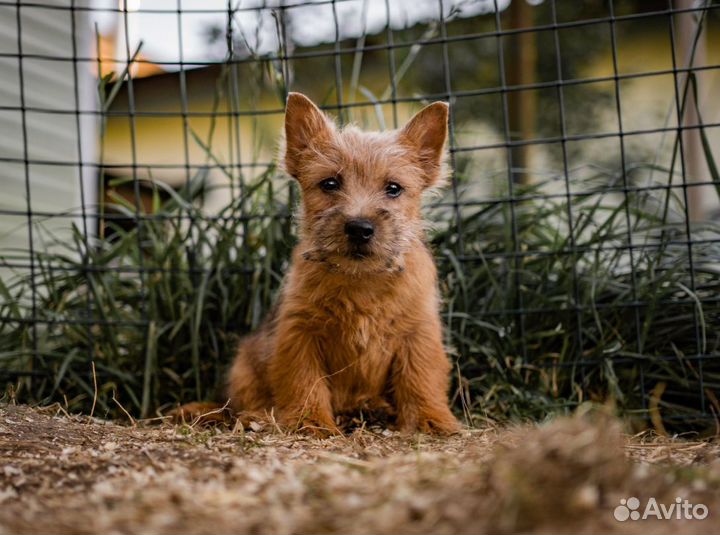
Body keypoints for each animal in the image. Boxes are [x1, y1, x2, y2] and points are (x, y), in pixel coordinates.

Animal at [222, 92, 458, 436]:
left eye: (394, 188)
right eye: (330, 184)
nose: (359, 228)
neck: (361, 279)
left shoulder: (418, 333)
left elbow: (420, 378)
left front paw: (431, 419)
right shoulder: (299, 332)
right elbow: (304, 380)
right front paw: (310, 421)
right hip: (244, 366)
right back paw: (258, 416)